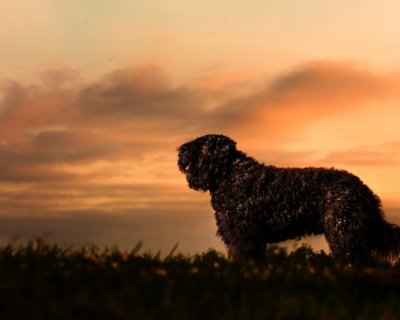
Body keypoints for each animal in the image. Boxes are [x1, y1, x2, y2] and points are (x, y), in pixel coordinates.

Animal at [178, 134, 400, 264]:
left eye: (201, 145)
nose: (180, 151)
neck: (230, 174)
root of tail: (363, 189)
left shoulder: (242, 237)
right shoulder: (249, 239)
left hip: (344, 234)